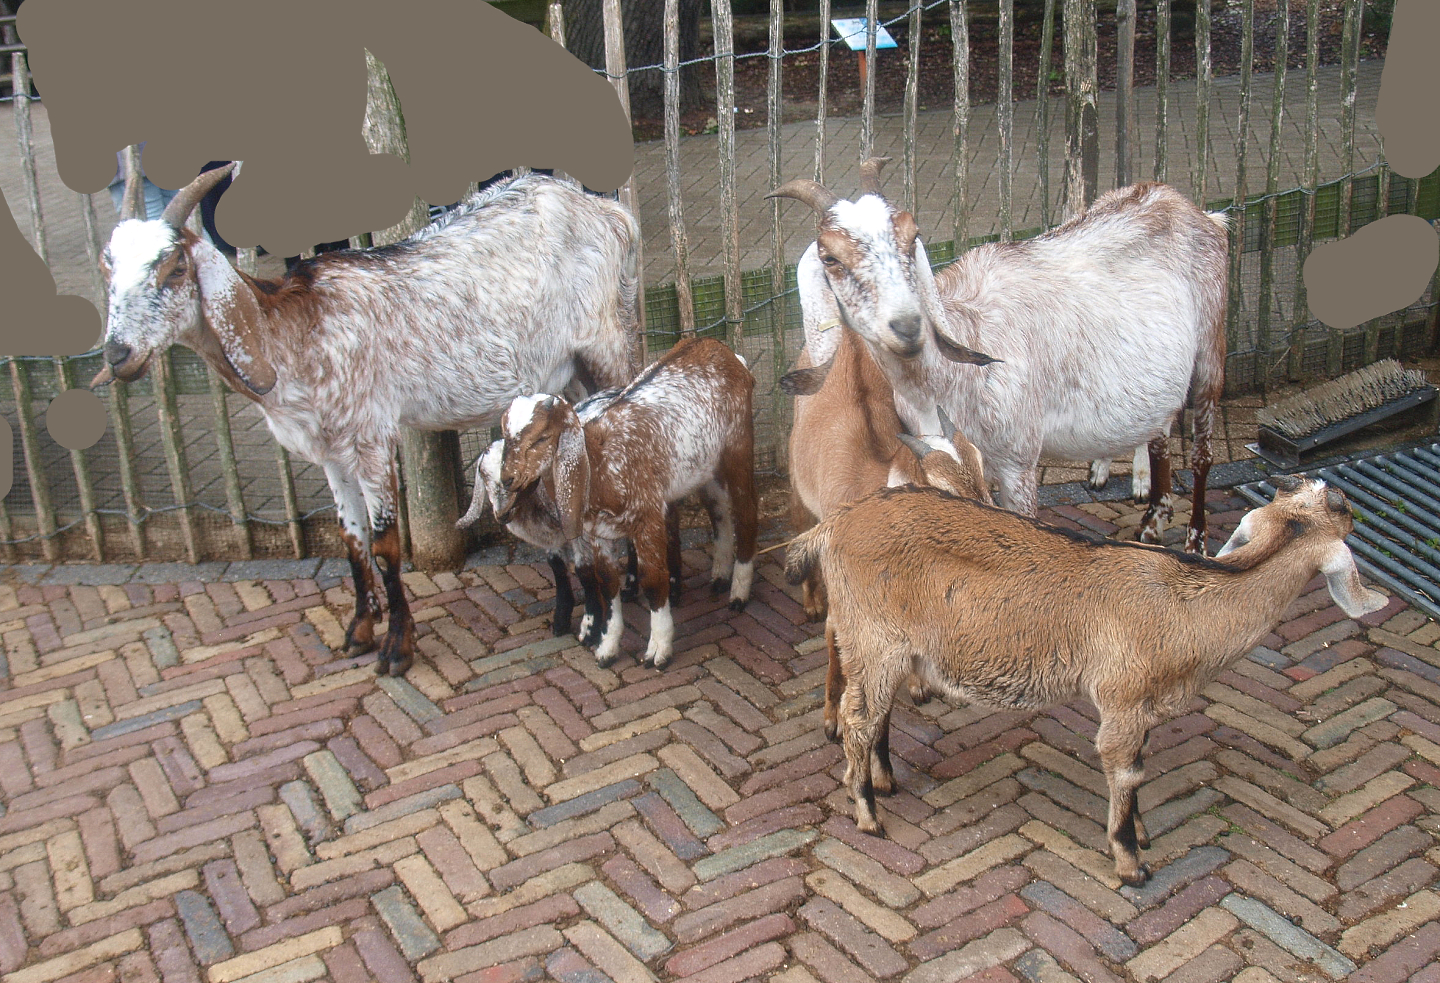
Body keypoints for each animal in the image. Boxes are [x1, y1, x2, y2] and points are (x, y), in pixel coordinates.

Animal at [91, 164, 641, 677]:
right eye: (107, 267)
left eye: (174, 267)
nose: (118, 354)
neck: (297, 333)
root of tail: (608, 212)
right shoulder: (329, 449)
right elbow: (351, 539)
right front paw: (358, 631)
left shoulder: (371, 436)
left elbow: (384, 544)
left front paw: (397, 647)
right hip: (566, 372)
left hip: (604, 341)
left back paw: (632, 582)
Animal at [496, 336, 758, 669]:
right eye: (505, 435)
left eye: (542, 438)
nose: (508, 479)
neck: (601, 464)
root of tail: (725, 351)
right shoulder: (597, 532)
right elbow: (607, 584)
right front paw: (607, 648)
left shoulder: (647, 518)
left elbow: (653, 581)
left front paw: (659, 650)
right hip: (702, 465)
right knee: (719, 510)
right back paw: (720, 575)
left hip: (738, 444)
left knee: (746, 510)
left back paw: (739, 592)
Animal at [772, 158, 1228, 554]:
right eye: (830, 257)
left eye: (912, 235)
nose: (908, 326)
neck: (945, 381)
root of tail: (1193, 209)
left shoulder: (1018, 463)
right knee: (1161, 435)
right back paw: (1153, 523)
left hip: (1211, 352)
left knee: (1202, 454)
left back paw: (1197, 544)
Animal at [785, 474, 1388, 886]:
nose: (1347, 506)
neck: (1184, 607)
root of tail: (833, 526)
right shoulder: (1121, 701)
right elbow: (1125, 771)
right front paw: (1131, 862)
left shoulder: (1143, 707)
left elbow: (1138, 769)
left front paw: (1141, 832)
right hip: (873, 638)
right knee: (857, 719)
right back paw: (867, 812)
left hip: (887, 647)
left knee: (876, 713)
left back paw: (885, 779)